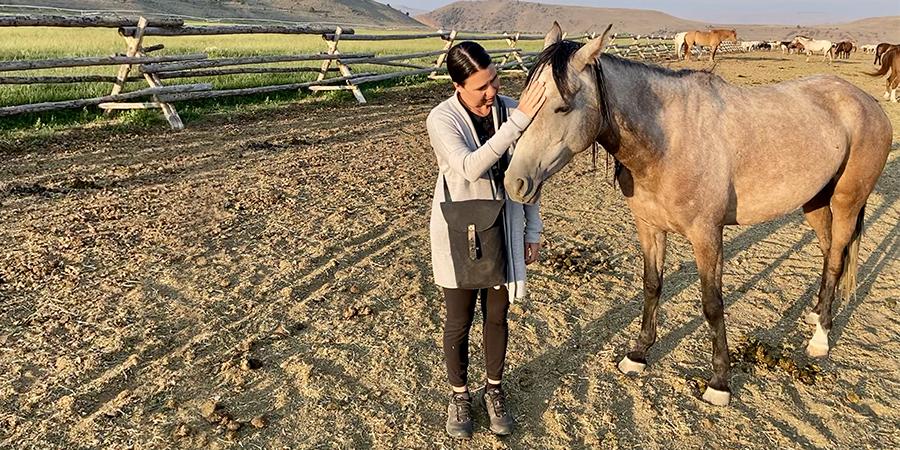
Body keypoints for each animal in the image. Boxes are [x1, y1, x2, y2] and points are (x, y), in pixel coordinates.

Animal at [502, 22, 888, 406]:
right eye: (526, 101)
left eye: (562, 107)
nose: (513, 182)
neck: (669, 140)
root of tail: (866, 102)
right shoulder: (649, 227)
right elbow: (652, 286)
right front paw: (638, 354)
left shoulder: (707, 236)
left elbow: (712, 304)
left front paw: (719, 382)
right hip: (815, 202)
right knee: (828, 254)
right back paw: (816, 314)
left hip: (846, 203)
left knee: (836, 259)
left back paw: (820, 337)